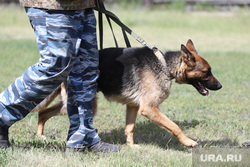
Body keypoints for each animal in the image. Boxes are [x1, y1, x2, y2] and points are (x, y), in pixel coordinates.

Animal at [31, 40, 223, 147]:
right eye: (207, 72)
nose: (220, 86)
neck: (164, 65)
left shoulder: (133, 106)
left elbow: (129, 128)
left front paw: (131, 147)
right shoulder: (149, 108)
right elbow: (175, 126)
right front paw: (188, 142)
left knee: (43, 112)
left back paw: (41, 136)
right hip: (85, 104)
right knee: (46, 112)